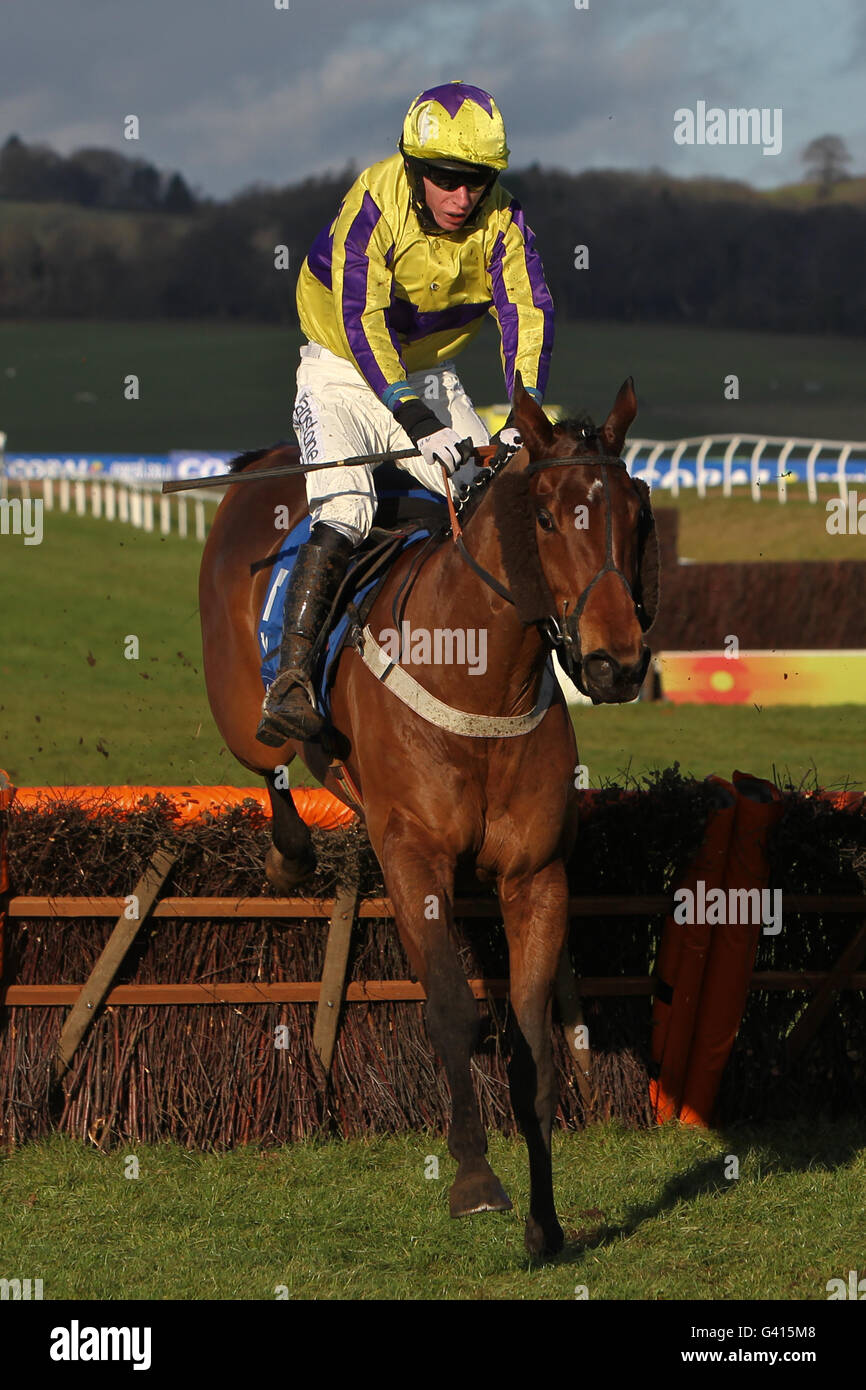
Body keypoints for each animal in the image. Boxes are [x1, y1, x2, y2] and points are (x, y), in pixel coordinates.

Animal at [198, 378, 656, 1262]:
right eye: (546, 516)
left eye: (639, 511)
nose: (617, 664)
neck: (481, 678)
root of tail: (269, 460)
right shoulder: (413, 858)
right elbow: (451, 1009)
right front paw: (475, 1178)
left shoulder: (536, 875)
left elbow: (533, 1043)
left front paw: (546, 1221)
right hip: (240, 705)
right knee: (269, 761)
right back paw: (289, 847)